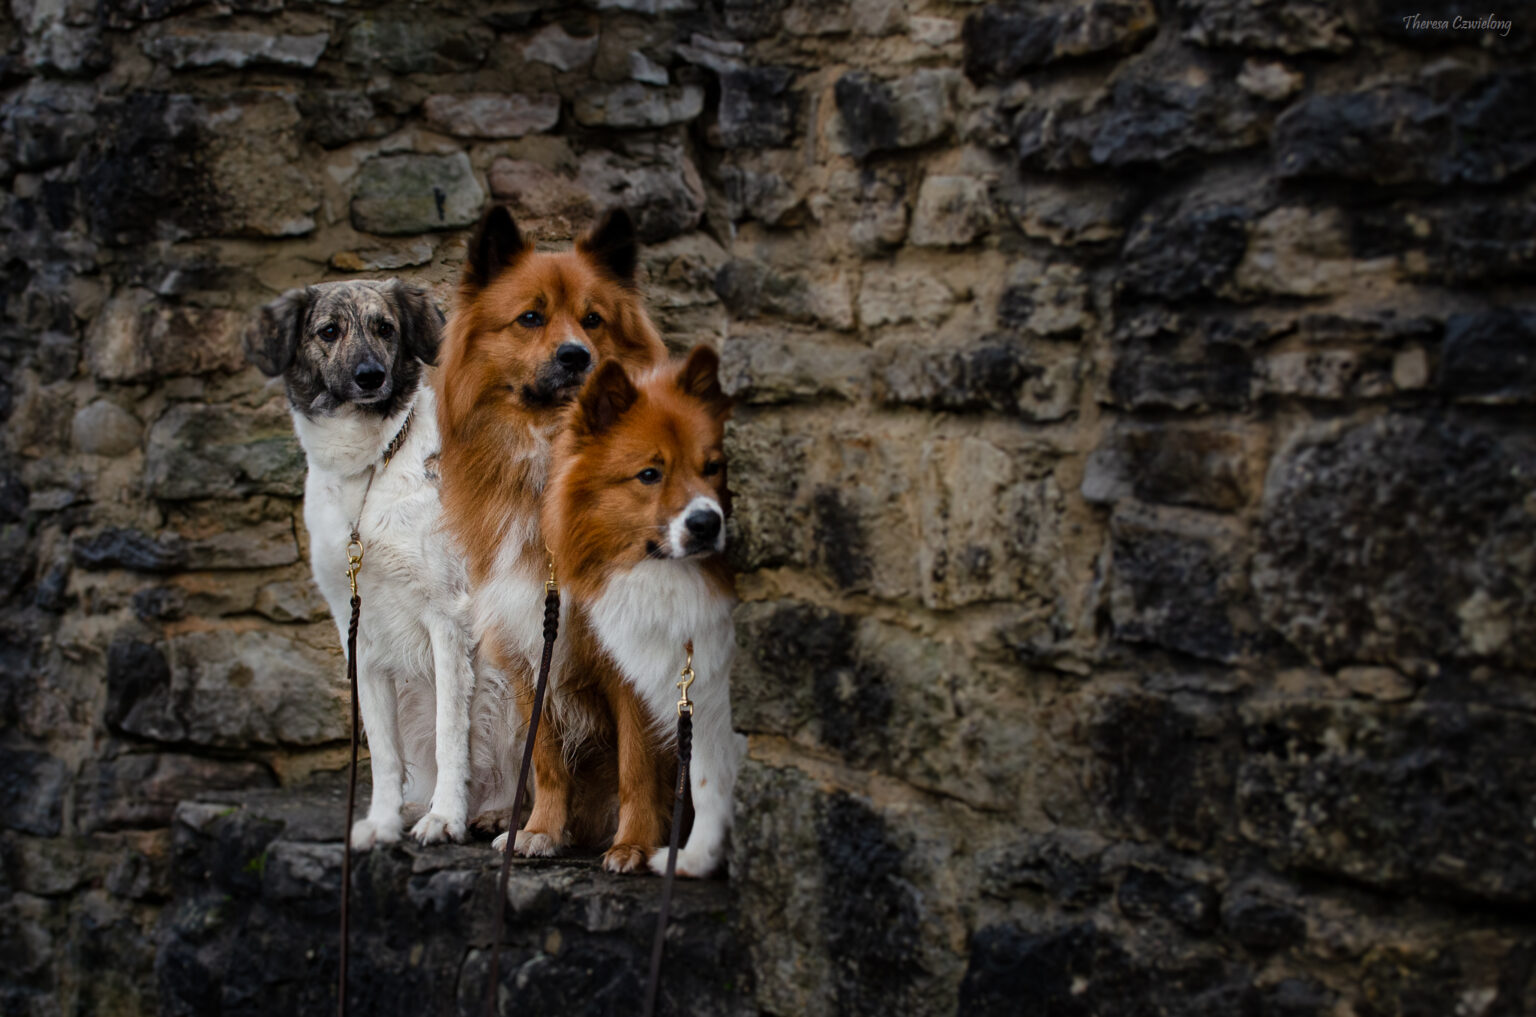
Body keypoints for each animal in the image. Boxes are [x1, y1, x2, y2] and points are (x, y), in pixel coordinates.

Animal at [436, 208, 669, 878]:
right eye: (531, 318)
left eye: (593, 320)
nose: (575, 355)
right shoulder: (525, 644)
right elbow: (543, 757)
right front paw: (540, 831)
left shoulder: (630, 657)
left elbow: (638, 763)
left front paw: (634, 843)